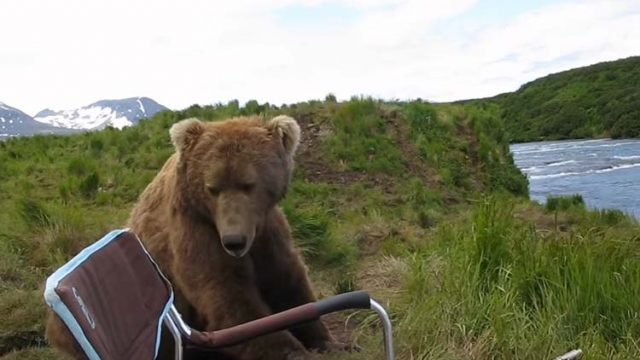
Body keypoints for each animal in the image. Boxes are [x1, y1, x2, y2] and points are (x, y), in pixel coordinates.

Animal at [45, 115, 340, 360]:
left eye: (249, 184)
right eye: (212, 188)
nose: (234, 240)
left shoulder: (267, 232)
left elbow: (288, 281)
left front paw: (325, 340)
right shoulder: (196, 230)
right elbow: (228, 298)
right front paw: (293, 351)